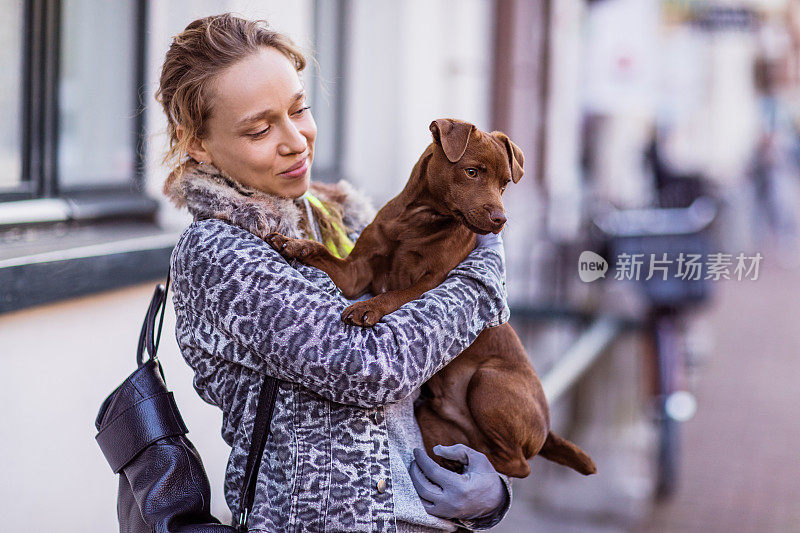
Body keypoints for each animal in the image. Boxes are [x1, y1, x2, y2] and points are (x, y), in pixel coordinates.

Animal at [268, 118, 592, 476]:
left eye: (505, 184)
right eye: (471, 172)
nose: (500, 219)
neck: (418, 220)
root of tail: (547, 432)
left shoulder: (432, 282)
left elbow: (396, 294)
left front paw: (368, 307)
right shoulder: (356, 272)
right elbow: (323, 253)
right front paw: (293, 244)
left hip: (488, 380)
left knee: (518, 465)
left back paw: (469, 458)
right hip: (432, 413)